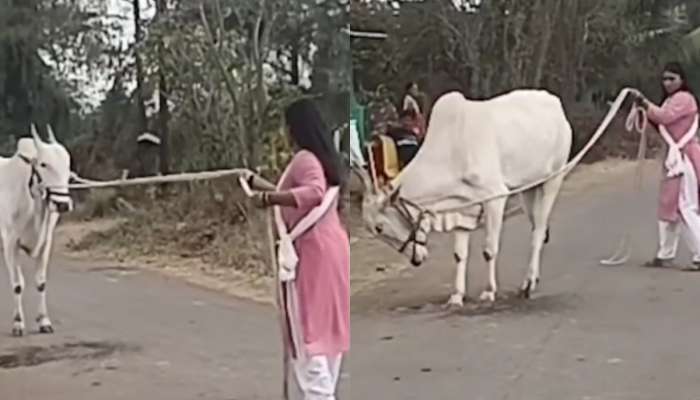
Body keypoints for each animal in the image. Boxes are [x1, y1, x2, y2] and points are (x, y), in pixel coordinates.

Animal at [0, 124, 72, 334]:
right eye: (43, 164)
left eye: (68, 166)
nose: (62, 205)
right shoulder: (10, 242)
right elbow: (17, 284)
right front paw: (17, 322)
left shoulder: (46, 241)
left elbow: (40, 282)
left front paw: (44, 321)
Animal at [358, 89, 572, 304]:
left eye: (379, 227)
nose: (417, 261)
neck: (453, 149)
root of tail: (555, 103)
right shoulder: (462, 207)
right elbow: (459, 255)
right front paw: (457, 295)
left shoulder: (496, 197)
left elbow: (489, 250)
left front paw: (489, 291)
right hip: (529, 188)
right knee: (537, 227)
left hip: (554, 178)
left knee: (539, 231)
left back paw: (528, 283)